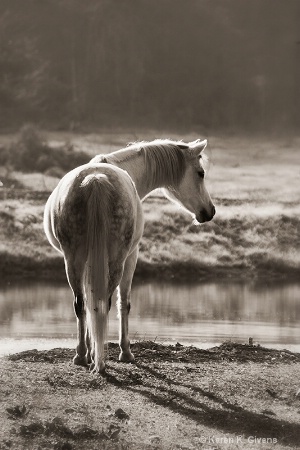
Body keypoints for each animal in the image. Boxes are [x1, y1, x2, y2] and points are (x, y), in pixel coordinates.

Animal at [43, 138, 214, 372]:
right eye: (200, 173)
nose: (210, 211)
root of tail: (95, 180)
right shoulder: (131, 256)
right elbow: (124, 303)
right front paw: (125, 352)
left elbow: (88, 301)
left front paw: (89, 349)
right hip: (117, 260)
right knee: (105, 304)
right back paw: (101, 359)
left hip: (73, 260)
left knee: (81, 304)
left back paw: (81, 355)